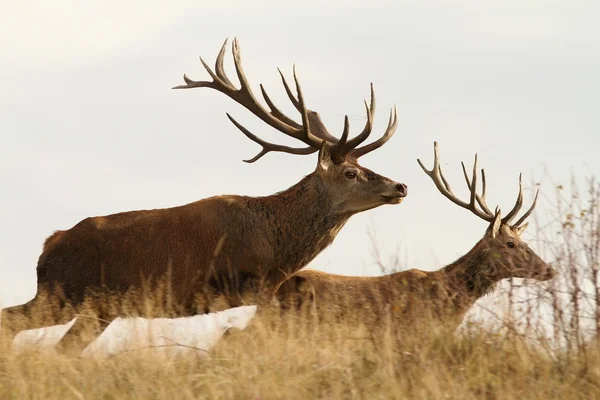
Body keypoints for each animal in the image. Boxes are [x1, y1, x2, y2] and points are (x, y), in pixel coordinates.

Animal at [0, 39, 408, 354]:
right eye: (350, 173)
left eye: (363, 165)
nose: (400, 186)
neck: (277, 247)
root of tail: (48, 247)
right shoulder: (249, 285)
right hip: (64, 291)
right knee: (13, 322)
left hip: (96, 306)